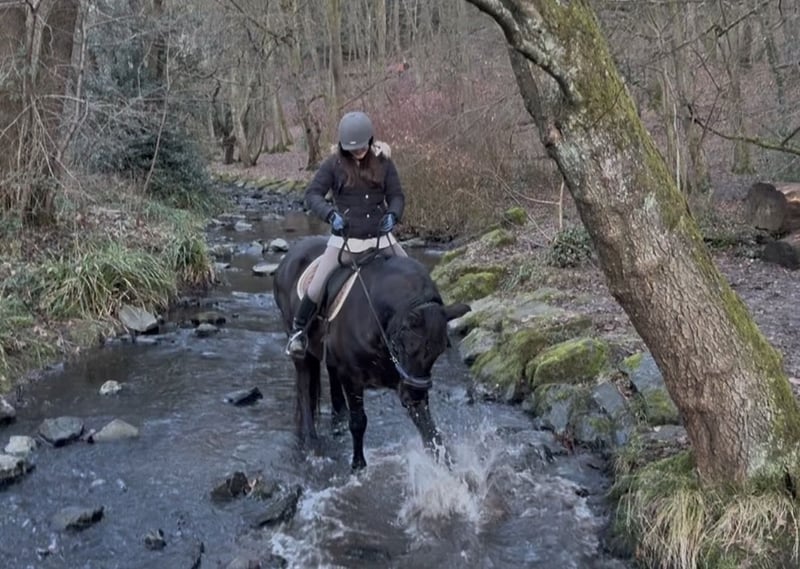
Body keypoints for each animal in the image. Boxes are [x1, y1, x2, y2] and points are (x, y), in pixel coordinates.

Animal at [273, 235, 470, 470]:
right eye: (404, 346)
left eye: (438, 352)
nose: (414, 396)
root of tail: (289, 258)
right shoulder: (352, 377)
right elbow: (359, 422)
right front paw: (358, 466)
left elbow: (429, 428)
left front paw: (448, 465)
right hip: (302, 352)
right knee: (304, 391)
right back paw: (313, 444)